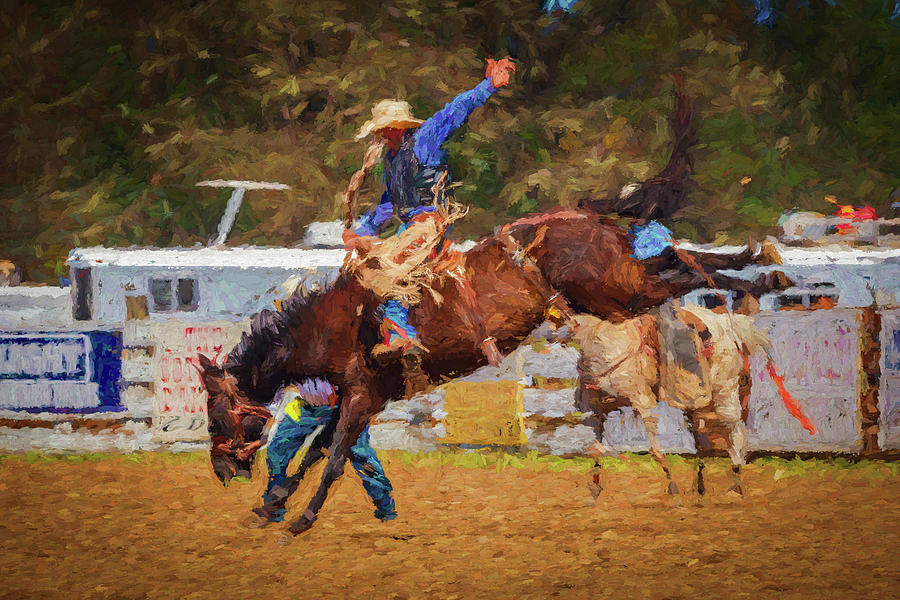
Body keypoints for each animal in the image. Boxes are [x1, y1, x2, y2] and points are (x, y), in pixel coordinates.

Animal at [195, 209, 780, 536]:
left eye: (216, 412)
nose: (221, 469)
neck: (338, 326)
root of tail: (589, 221)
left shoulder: (362, 397)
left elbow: (333, 458)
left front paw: (298, 521)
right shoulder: (358, 401)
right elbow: (316, 450)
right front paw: (270, 505)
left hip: (616, 291)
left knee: (678, 273)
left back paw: (761, 277)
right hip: (613, 288)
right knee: (674, 261)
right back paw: (758, 263)